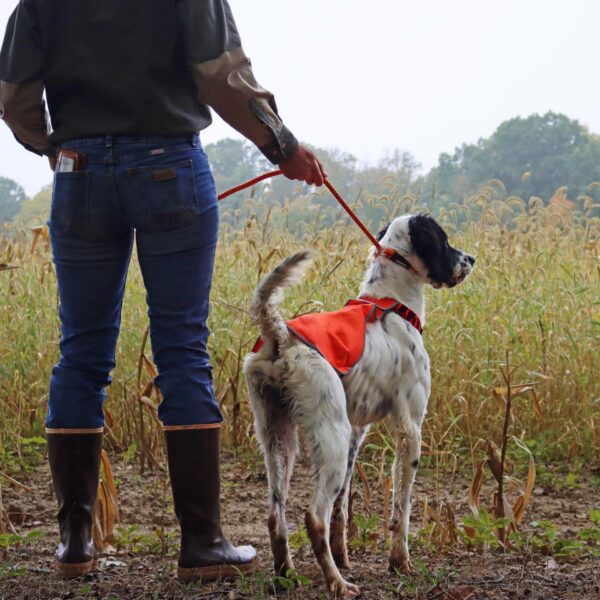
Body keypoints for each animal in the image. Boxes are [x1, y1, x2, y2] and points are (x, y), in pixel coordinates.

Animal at [243, 213, 474, 596]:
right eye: (443, 240)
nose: (471, 259)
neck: (392, 303)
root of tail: (280, 338)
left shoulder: (357, 432)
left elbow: (343, 509)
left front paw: (345, 555)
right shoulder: (410, 428)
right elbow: (401, 509)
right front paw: (399, 562)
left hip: (279, 439)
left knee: (276, 514)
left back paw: (287, 575)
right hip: (330, 438)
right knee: (313, 517)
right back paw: (337, 583)